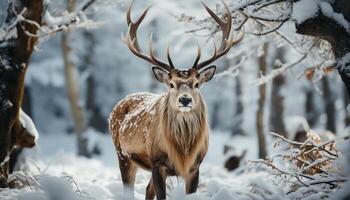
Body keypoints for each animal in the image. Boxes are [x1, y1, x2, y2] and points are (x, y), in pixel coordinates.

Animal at [109, 1, 243, 198]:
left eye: (196, 84)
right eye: (171, 84)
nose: (185, 100)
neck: (183, 151)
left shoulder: (195, 166)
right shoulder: (157, 161)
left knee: (148, 190)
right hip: (122, 154)